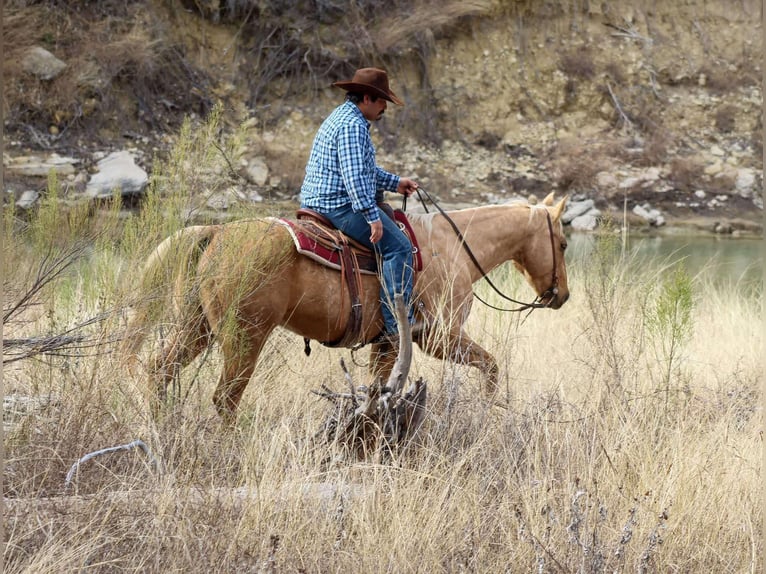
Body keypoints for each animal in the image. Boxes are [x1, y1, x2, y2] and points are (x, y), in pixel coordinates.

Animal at [121, 193, 570, 421]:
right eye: (563, 243)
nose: (561, 295)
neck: (452, 247)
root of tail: (215, 232)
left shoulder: (388, 343)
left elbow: (378, 388)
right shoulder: (438, 337)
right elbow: (491, 365)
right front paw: (490, 408)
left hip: (197, 329)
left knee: (159, 371)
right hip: (244, 336)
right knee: (225, 398)